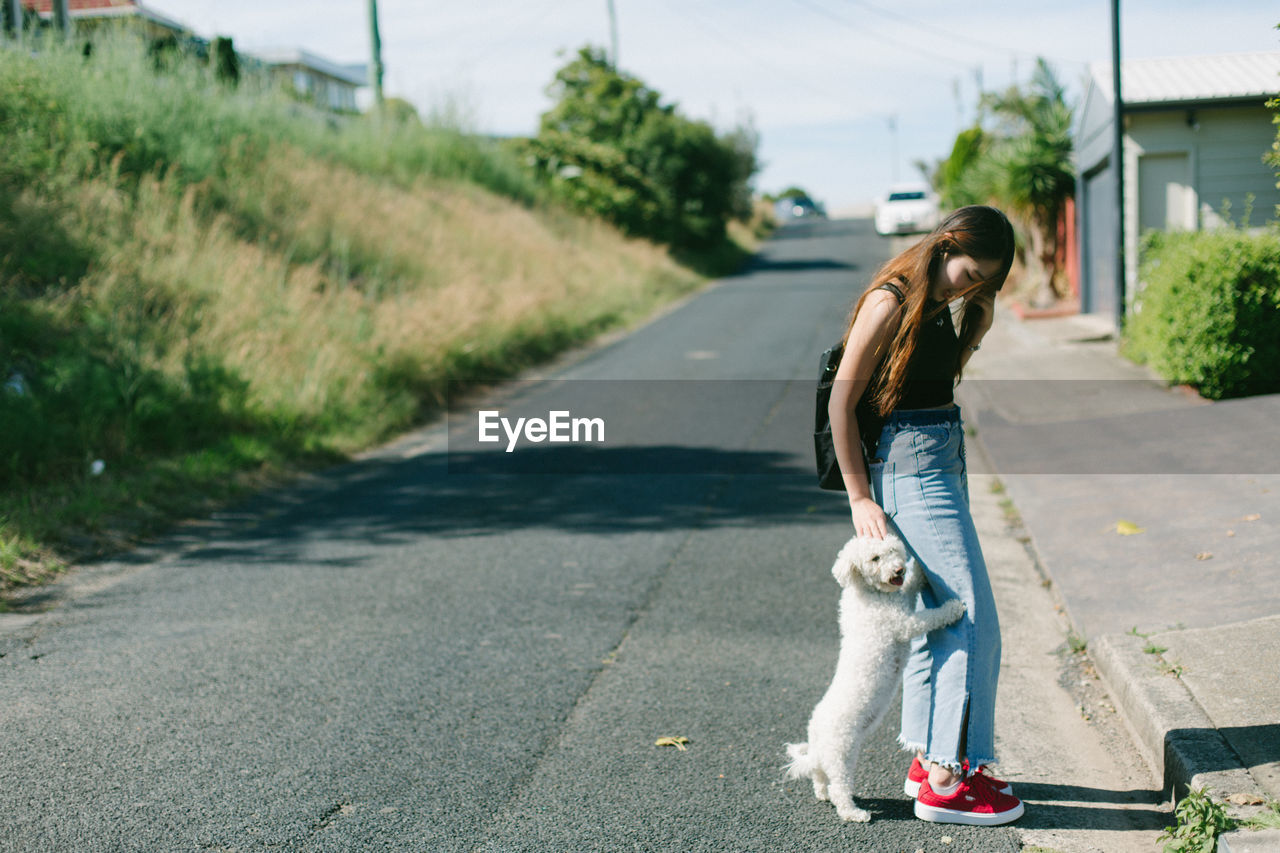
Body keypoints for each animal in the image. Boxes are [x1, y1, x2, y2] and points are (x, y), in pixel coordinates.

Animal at [783, 532, 962, 819]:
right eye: (875, 558)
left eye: (892, 550)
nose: (899, 569)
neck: (869, 592)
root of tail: (817, 741)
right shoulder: (903, 623)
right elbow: (930, 617)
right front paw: (954, 608)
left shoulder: (900, 601)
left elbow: (909, 588)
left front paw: (918, 570)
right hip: (842, 754)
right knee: (839, 787)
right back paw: (854, 813)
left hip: (826, 757)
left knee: (819, 777)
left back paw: (822, 794)